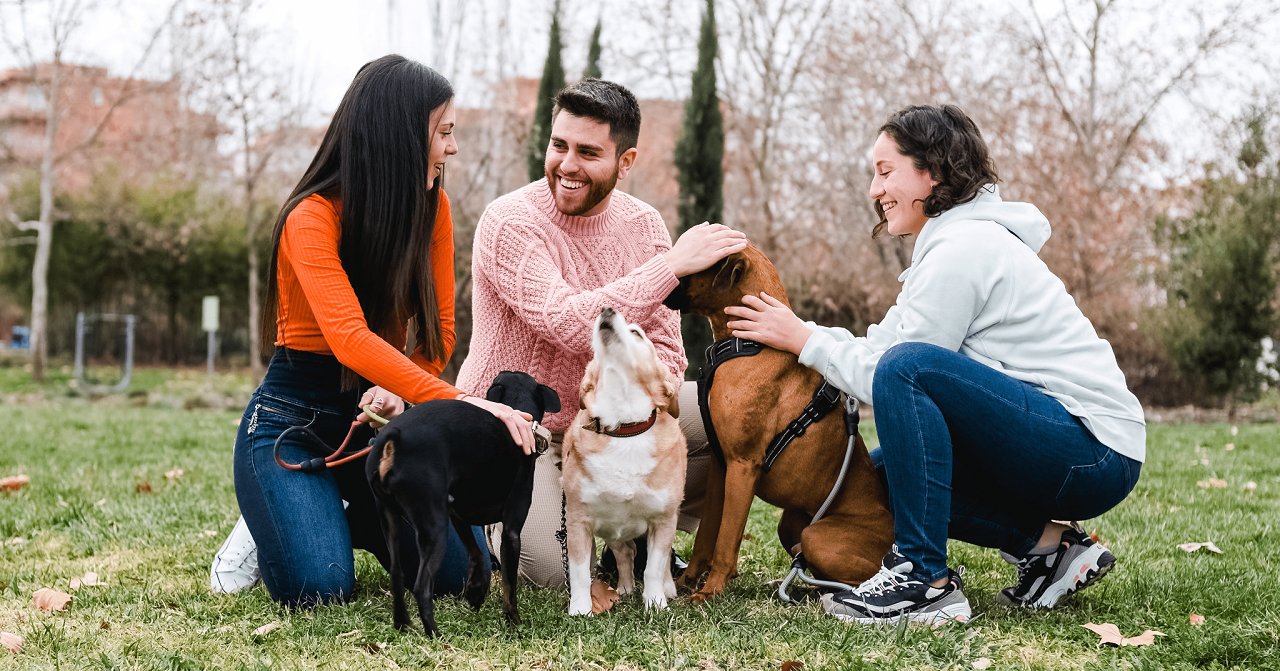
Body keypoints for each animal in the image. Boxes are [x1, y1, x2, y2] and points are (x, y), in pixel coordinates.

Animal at [363, 368, 558, 637]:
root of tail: (394, 437)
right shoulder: (511, 531)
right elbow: (509, 586)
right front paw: (514, 622)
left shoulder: (459, 515)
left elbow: (476, 554)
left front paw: (475, 593)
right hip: (434, 527)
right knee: (421, 586)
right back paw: (435, 634)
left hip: (389, 518)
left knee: (396, 574)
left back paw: (402, 625)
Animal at [563, 308, 691, 612]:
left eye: (637, 333)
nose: (607, 309)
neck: (624, 427)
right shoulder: (577, 522)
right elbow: (579, 573)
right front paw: (580, 609)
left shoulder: (663, 520)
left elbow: (654, 567)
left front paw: (655, 603)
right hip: (612, 531)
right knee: (626, 552)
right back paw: (624, 587)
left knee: (659, 561)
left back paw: (666, 588)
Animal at [665, 244, 896, 601]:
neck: (750, 344)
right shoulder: (721, 466)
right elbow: (707, 534)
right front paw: (688, 581)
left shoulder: (742, 467)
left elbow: (726, 538)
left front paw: (710, 590)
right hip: (790, 524)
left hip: (816, 537)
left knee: (854, 579)